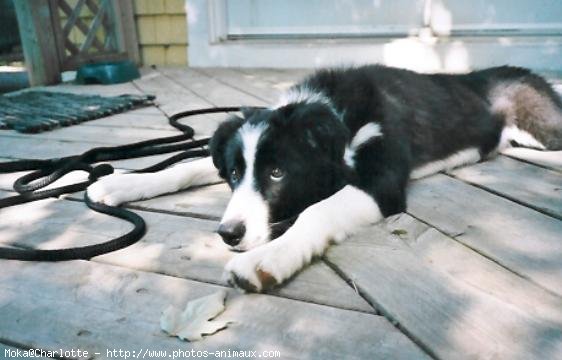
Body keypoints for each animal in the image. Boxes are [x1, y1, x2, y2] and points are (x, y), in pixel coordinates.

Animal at [86, 65, 560, 292]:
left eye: (278, 172)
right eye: (235, 173)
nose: (229, 234)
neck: (331, 115)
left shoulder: (380, 182)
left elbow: (317, 211)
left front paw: (266, 260)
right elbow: (188, 164)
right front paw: (122, 182)